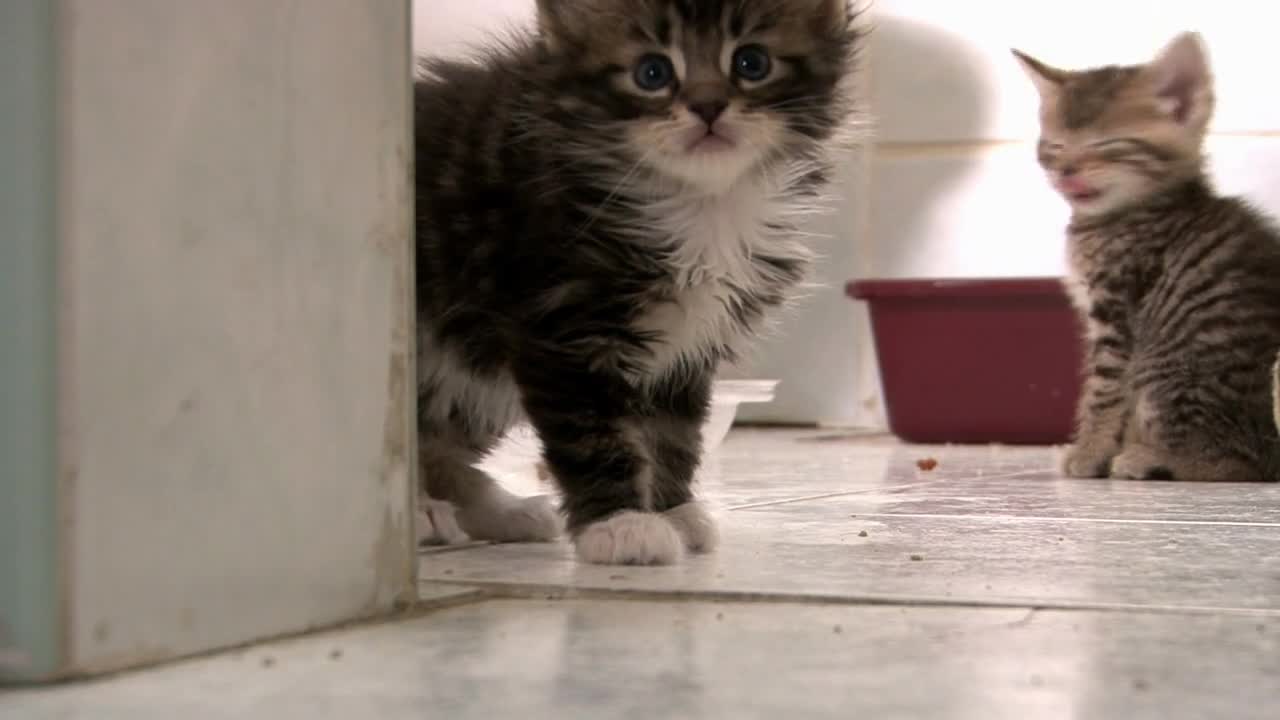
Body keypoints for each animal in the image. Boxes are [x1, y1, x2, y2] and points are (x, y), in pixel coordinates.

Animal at [414, 0, 860, 561]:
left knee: (436, 444)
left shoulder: (687, 346)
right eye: (652, 73)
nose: (708, 106)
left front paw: (673, 510)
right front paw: (620, 525)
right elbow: (594, 432)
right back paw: (423, 515)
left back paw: (505, 512)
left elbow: (671, 434)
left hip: (473, 377)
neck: (699, 204)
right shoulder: (561, 330)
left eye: (752, 63)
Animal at [1013, 33, 1280, 481]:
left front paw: (1089, 452)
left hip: (1166, 368)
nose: (1065, 171)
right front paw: (1098, 450)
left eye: (1105, 145)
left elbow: (1103, 391)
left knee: (1234, 463)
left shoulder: (1117, 310)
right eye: (1055, 146)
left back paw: (1150, 460)